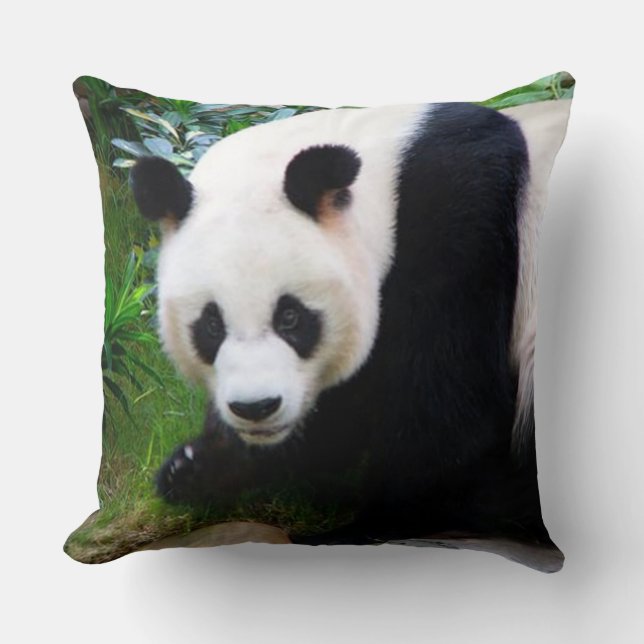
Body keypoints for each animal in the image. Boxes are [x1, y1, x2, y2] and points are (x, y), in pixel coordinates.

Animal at [130, 99, 570, 544]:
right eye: (211, 326)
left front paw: (360, 527)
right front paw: (197, 468)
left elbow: (446, 418)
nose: (256, 407)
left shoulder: (458, 235)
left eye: (290, 317)